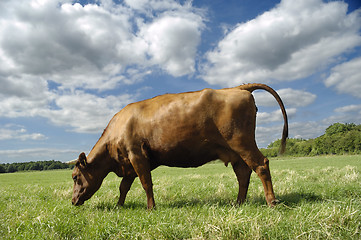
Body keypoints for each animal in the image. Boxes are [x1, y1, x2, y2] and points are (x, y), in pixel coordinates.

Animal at [67, 83, 286, 209]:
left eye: (75, 176)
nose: (72, 201)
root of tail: (238, 88)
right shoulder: (129, 163)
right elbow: (124, 187)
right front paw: (119, 206)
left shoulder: (136, 155)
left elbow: (146, 183)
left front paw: (151, 208)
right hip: (235, 151)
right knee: (243, 174)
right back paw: (239, 203)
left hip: (242, 142)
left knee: (261, 165)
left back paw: (271, 202)